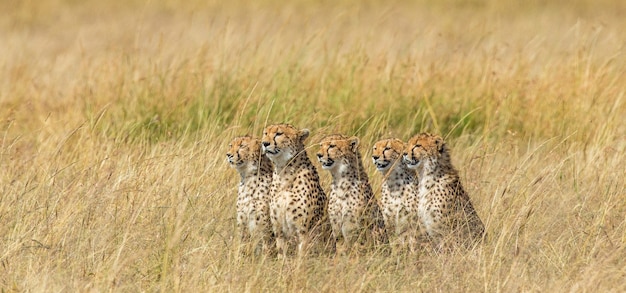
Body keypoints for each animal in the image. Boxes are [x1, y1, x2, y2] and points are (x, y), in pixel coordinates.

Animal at [260, 123, 330, 256]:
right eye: (265, 133)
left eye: (279, 134)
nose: (264, 143)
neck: (284, 172)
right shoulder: (279, 229)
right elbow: (281, 252)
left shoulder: (304, 230)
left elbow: (302, 254)